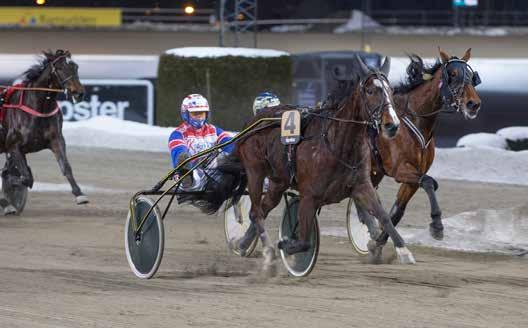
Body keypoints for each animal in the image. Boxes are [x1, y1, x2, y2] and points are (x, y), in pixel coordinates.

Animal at [0, 48, 87, 213]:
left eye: (76, 67)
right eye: (60, 68)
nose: (78, 93)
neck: (39, 108)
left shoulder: (56, 140)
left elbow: (66, 167)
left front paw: (79, 194)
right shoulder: (13, 145)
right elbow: (25, 177)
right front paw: (7, 200)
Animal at [180, 56, 416, 272]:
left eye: (390, 91)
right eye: (370, 91)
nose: (392, 125)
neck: (336, 143)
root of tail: (251, 125)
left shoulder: (361, 186)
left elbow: (384, 217)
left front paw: (402, 250)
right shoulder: (309, 194)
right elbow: (303, 241)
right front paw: (286, 244)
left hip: (278, 182)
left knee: (262, 209)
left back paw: (243, 243)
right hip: (255, 172)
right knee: (256, 212)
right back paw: (268, 253)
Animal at [352, 48, 484, 258]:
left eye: (472, 76)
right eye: (453, 74)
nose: (473, 104)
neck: (414, 119)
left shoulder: (413, 177)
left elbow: (398, 211)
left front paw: (379, 244)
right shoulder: (400, 170)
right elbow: (429, 182)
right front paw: (437, 225)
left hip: (374, 171)